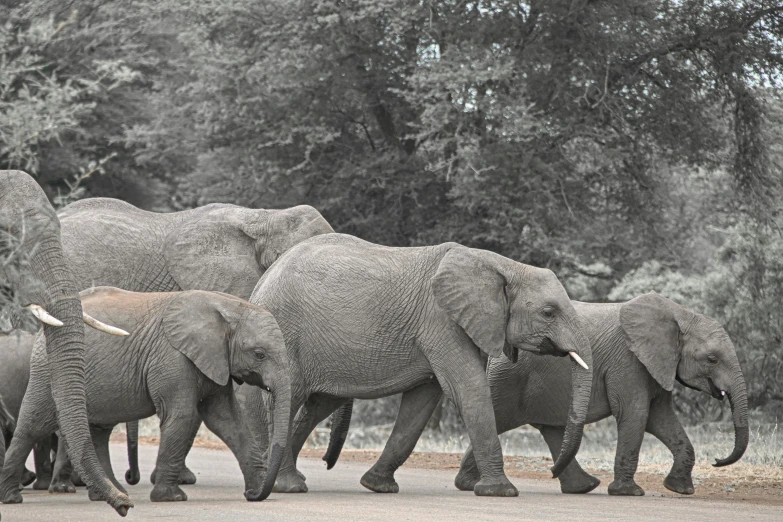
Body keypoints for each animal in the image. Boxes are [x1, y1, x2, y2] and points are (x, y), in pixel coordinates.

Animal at [0, 286, 292, 502]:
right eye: (259, 354)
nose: (252, 494)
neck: (228, 306)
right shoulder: (173, 358)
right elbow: (183, 416)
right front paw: (171, 498)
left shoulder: (214, 361)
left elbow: (228, 421)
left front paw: (257, 491)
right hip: (47, 370)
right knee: (35, 423)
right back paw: (12, 497)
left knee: (98, 431)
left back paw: (112, 494)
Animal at [245, 233, 596, 496]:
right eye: (549, 312)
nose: (551, 472)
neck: (502, 265)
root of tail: (262, 281)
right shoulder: (442, 322)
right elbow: (468, 390)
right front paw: (501, 492)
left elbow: (421, 403)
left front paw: (377, 486)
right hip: (286, 334)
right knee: (290, 400)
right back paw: (289, 487)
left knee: (319, 404)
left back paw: (286, 481)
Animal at [456, 292, 752, 496]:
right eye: (712, 359)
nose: (717, 460)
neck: (680, 315)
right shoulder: (629, 361)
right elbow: (636, 414)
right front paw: (628, 493)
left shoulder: (655, 365)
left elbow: (661, 419)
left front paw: (680, 489)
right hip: (509, 378)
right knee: (497, 418)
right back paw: (475, 485)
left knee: (552, 429)